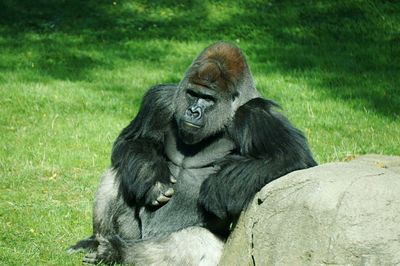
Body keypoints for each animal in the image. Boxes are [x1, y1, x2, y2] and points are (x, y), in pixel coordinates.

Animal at [69, 41, 318, 264]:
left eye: (208, 99)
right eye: (191, 93)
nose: (193, 111)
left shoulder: (256, 115)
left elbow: (290, 157)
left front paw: (218, 188)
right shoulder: (161, 99)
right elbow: (133, 141)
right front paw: (151, 178)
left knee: (193, 242)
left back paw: (118, 252)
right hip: (133, 233)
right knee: (119, 170)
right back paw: (97, 241)